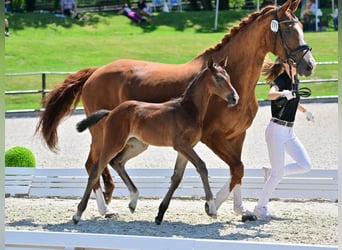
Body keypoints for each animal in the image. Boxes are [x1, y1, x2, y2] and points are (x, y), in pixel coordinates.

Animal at [72, 58, 238, 225]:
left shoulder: (186, 148)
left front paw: (160, 214)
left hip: (138, 145)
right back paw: (78, 214)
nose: (234, 98)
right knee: (96, 170)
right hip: (113, 142)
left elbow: (177, 177)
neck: (188, 110)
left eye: (229, 77)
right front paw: (211, 208)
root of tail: (112, 112)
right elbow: (202, 166)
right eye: (218, 78)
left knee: (117, 162)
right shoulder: (181, 145)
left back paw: (133, 201)